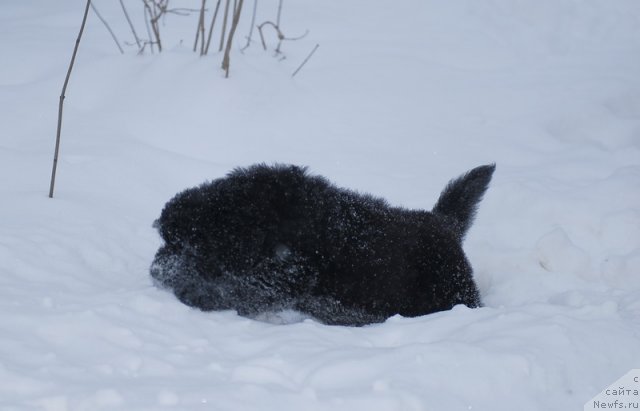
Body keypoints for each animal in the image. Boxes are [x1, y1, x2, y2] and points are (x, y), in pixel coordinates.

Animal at [150, 163, 496, 326]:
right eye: (166, 240)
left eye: (186, 246)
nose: (155, 272)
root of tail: (444, 224)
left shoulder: (290, 271)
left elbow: (242, 288)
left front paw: (196, 294)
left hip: (452, 291)